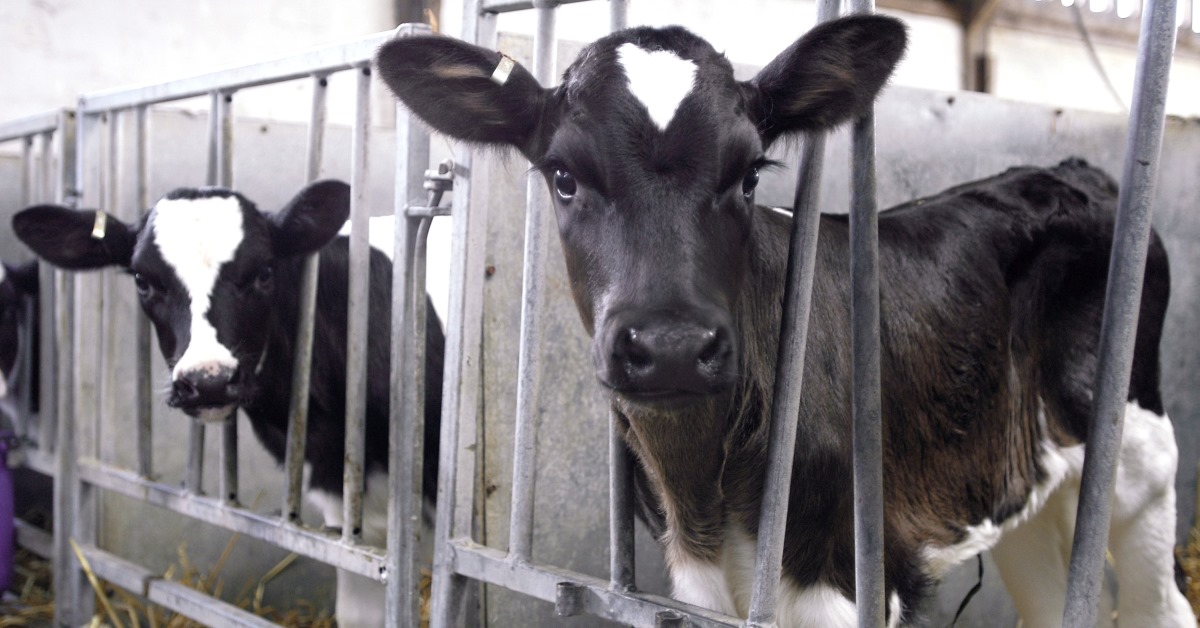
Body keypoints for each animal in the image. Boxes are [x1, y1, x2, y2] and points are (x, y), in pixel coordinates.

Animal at [374, 15, 1190, 628]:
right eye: (563, 176)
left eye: (749, 176)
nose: (671, 347)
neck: (706, 486)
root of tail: (1075, 170)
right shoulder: (693, 578)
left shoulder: (849, 572)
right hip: (1019, 475)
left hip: (1138, 460)